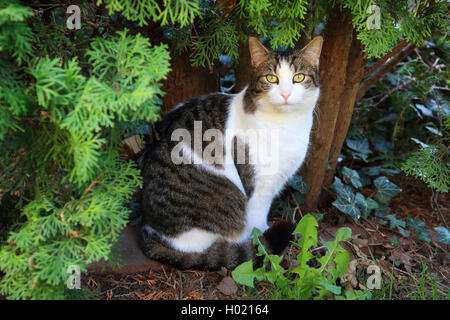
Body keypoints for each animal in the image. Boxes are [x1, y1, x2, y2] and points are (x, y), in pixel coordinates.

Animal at [139, 35, 322, 270]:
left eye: (298, 77)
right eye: (271, 78)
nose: (285, 94)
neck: (286, 125)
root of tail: (150, 232)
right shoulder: (257, 187)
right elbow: (257, 224)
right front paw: (261, 248)